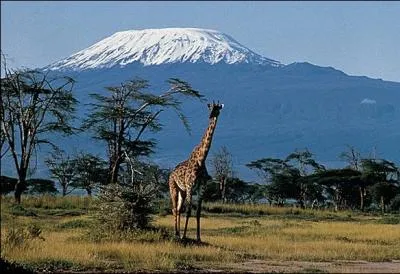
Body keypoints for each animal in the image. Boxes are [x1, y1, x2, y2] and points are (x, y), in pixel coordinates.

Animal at [169, 101, 225, 242]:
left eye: (217, 109)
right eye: (210, 108)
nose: (210, 116)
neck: (201, 159)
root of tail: (171, 173)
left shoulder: (201, 188)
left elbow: (198, 212)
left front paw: (198, 238)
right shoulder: (190, 187)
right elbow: (189, 211)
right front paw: (184, 236)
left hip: (182, 192)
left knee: (178, 209)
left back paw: (177, 233)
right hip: (174, 188)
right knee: (174, 209)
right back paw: (176, 234)